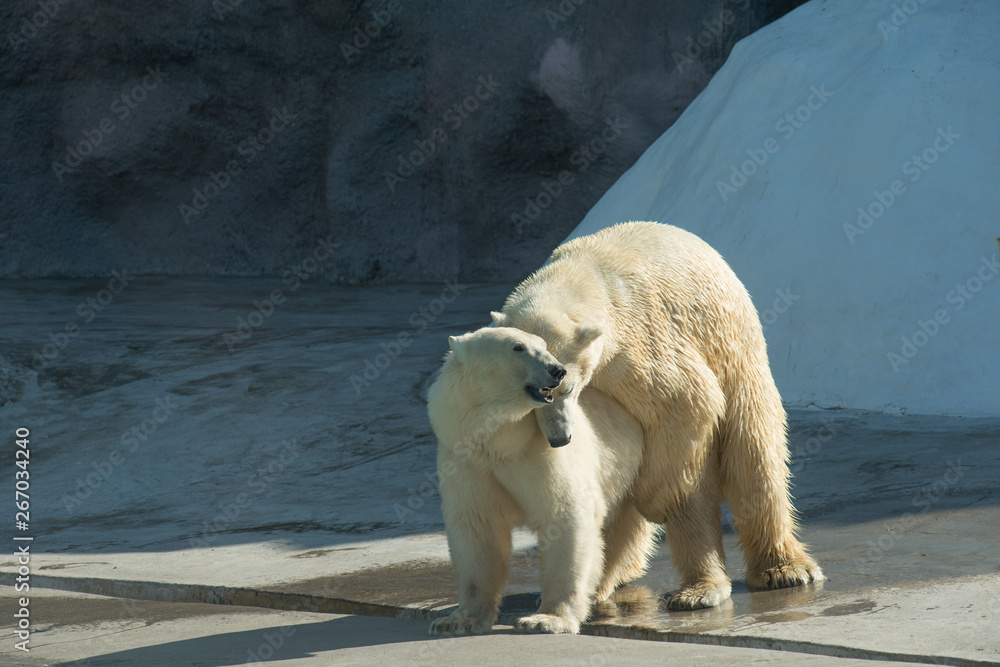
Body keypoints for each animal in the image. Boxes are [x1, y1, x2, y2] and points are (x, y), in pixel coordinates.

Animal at [428, 328, 656, 636]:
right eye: (518, 347)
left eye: (543, 344)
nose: (557, 370)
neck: (499, 441)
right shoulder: (467, 460)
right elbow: (478, 528)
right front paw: (458, 620)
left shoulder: (543, 453)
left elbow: (564, 515)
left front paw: (546, 619)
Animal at [488, 220, 824, 612]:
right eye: (533, 396)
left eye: (563, 387)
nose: (559, 438)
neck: (584, 272)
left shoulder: (636, 347)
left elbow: (687, 401)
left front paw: (653, 500)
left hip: (736, 354)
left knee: (749, 457)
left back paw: (756, 576)